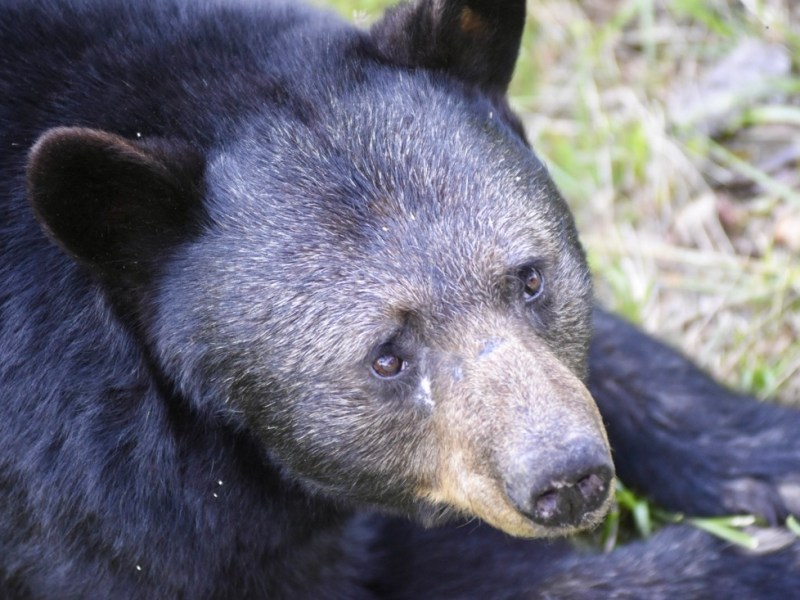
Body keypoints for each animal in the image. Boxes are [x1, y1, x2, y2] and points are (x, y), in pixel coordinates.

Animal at [0, 0, 799, 597]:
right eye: (386, 357)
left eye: (531, 278)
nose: (568, 480)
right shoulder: (105, 511)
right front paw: (755, 560)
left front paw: (766, 455)